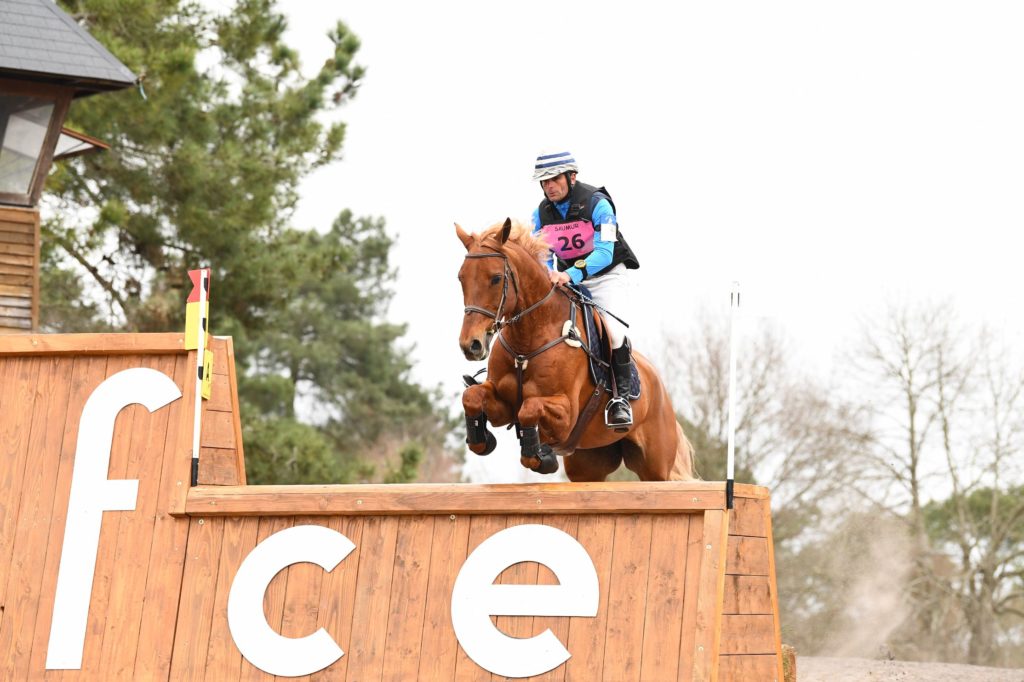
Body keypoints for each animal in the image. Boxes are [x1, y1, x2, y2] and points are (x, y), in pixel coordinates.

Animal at [456, 216, 696, 477]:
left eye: (496, 278)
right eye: (461, 278)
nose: (471, 345)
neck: (527, 341)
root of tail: (660, 387)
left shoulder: (566, 413)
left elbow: (530, 408)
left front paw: (541, 456)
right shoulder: (504, 404)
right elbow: (472, 396)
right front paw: (482, 439)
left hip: (656, 467)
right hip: (588, 464)